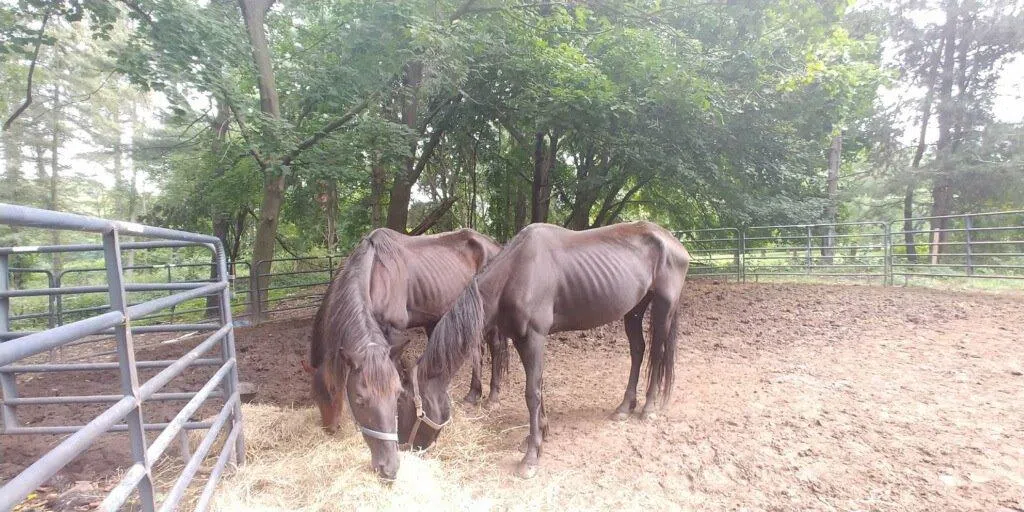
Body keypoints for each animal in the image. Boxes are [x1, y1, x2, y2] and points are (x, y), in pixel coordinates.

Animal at [302, 227, 509, 480]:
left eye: (334, 391)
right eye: (315, 394)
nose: (330, 428)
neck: (375, 271)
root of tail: (494, 245)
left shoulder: (393, 330)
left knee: (495, 348)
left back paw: (493, 397)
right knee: (476, 350)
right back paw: (472, 394)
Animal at [399, 221, 690, 479]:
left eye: (402, 403)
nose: (405, 447)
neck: (516, 272)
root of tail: (673, 243)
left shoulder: (534, 338)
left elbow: (532, 393)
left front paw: (531, 457)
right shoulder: (521, 339)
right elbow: (538, 386)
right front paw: (538, 434)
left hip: (663, 307)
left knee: (657, 354)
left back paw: (648, 408)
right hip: (634, 310)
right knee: (638, 351)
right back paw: (624, 407)